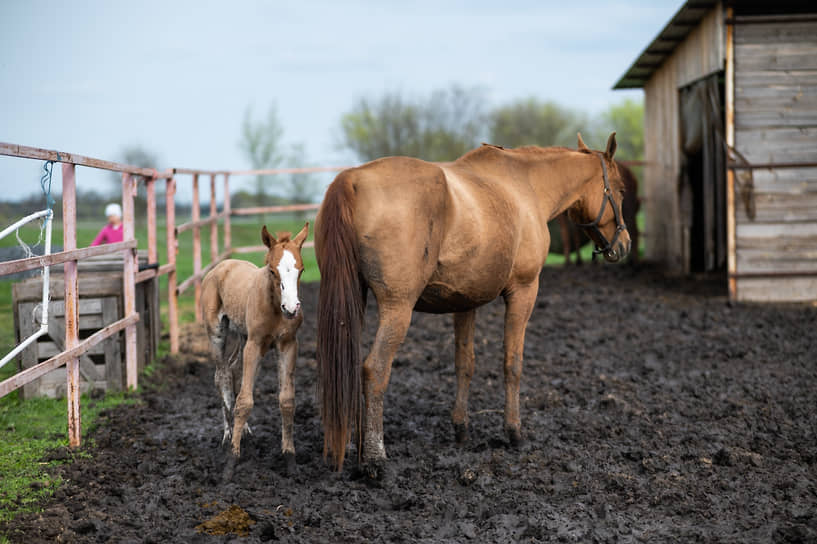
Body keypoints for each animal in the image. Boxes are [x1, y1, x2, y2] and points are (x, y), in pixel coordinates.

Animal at [316, 133, 628, 476]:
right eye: (621, 189)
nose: (624, 244)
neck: (526, 185)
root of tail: (352, 179)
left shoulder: (466, 302)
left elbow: (464, 364)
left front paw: (461, 428)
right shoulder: (524, 291)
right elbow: (512, 364)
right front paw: (514, 432)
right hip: (397, 309)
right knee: (374, 369)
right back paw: (374, 457)